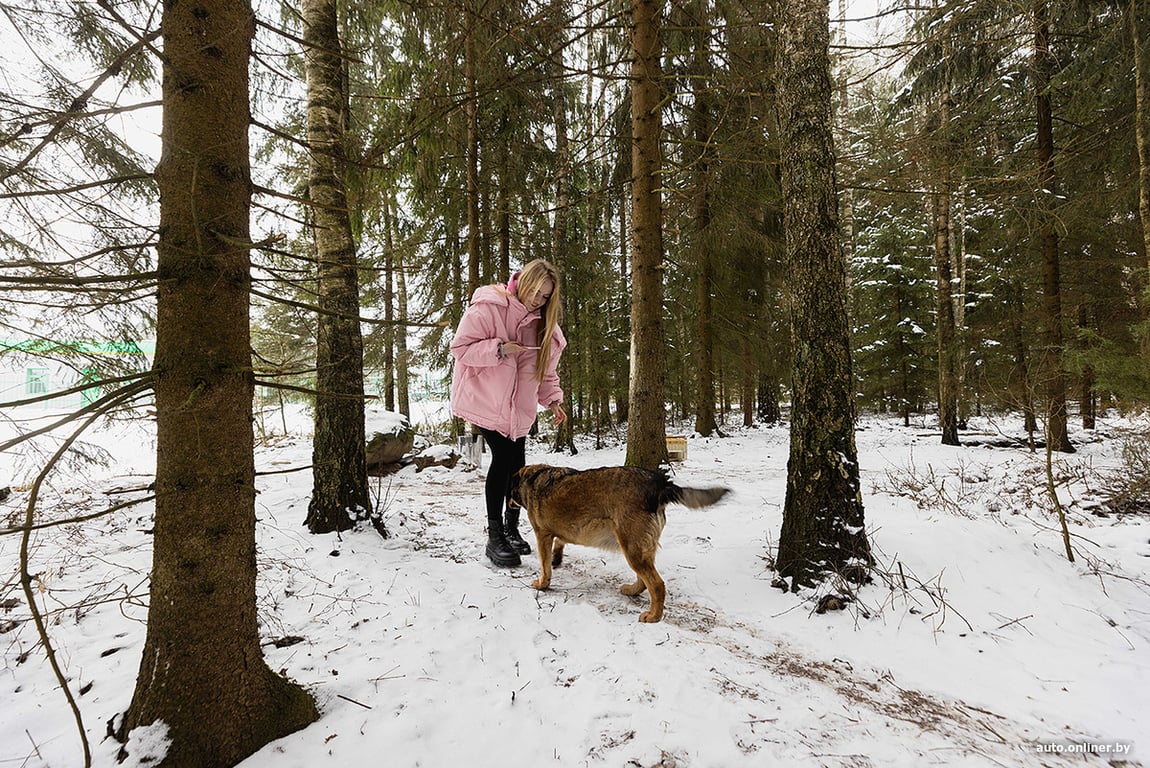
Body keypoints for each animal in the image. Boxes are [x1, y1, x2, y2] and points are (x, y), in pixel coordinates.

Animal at [510, 464, 731, 620]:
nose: (509, 504)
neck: (533, 477)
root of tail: (660, 483)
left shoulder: (542, 535)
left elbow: (545, 567)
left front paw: (542, 584)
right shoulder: (562, 532)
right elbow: (560, 544)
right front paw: (557, 559)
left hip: (631, 549)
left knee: (657, 585)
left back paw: (654, 616)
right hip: (638, 549)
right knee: (644, 582)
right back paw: (631, 591)